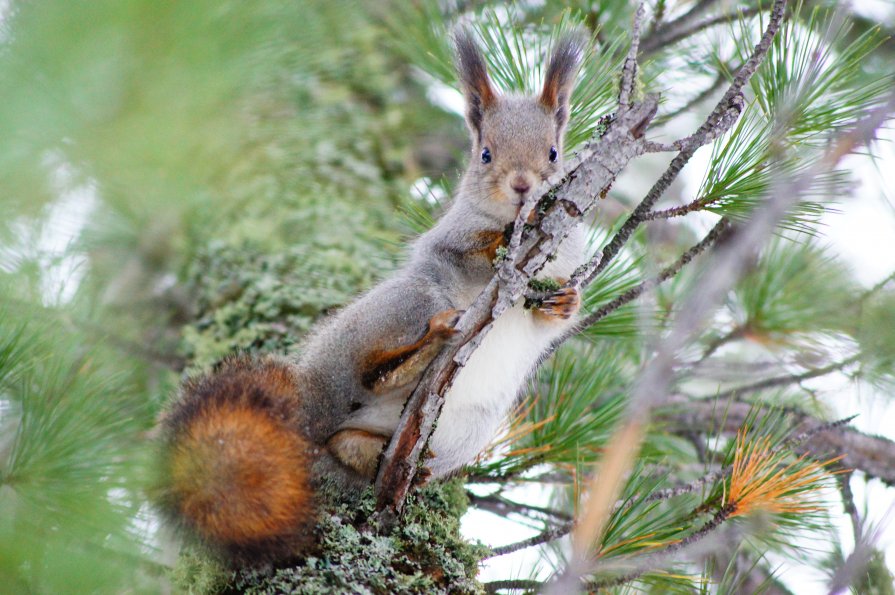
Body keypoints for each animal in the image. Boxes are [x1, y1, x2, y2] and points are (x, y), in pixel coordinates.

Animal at [154, 29, 588, 568]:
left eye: (553, 153)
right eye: (485, 154)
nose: (523, 186)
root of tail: (309, 418)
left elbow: (555, 318)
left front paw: (564, 303)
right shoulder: (445, 242)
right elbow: (463, 251)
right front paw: (501, 240)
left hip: (466, 428)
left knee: (348, 446)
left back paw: (383, 457)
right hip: (409, 305)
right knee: (371, 375)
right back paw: (417, 355)